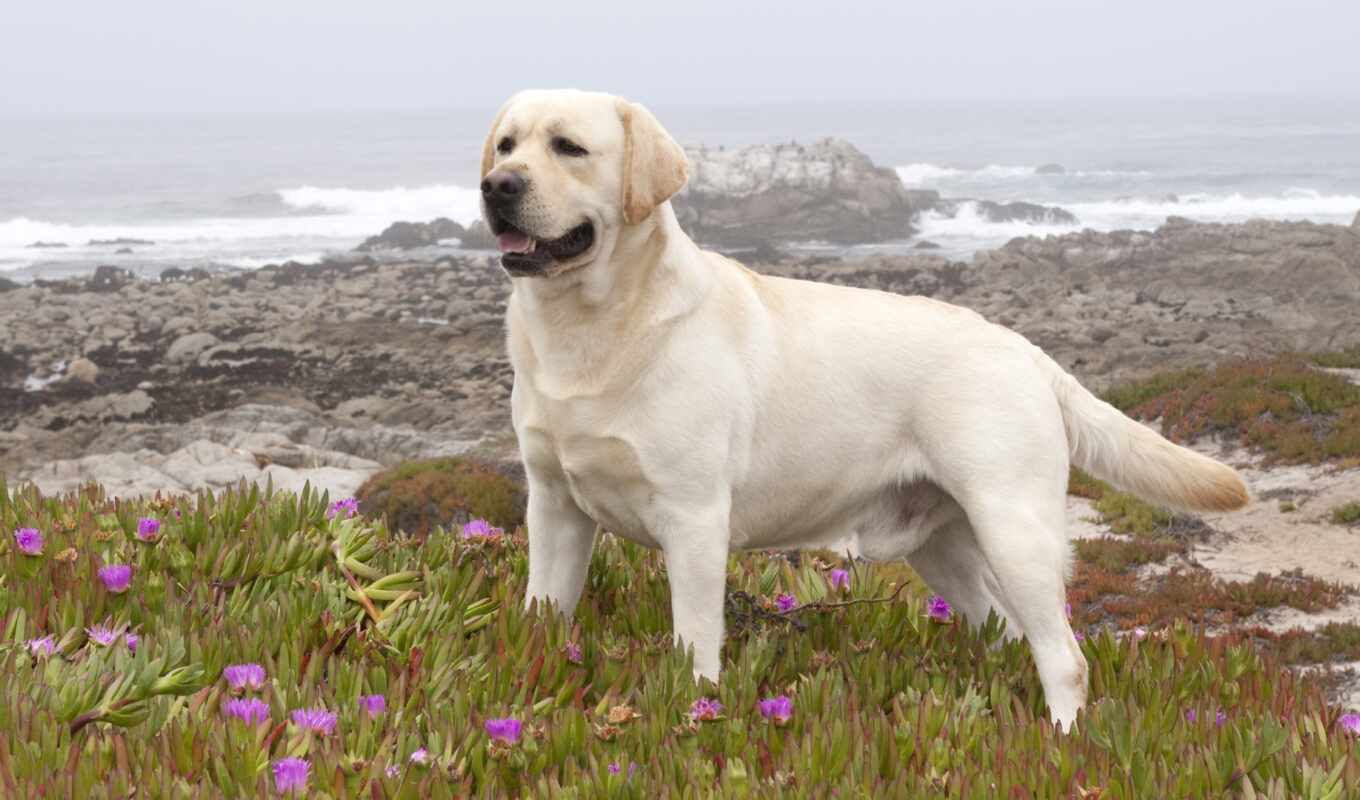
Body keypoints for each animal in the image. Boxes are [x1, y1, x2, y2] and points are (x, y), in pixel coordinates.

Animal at [478, 90, 1245, 729]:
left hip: (1014, 529)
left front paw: (696, 708)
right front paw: (533, 672)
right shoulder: (554, 507)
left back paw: (1063, 741)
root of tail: (1030, 353)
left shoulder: (693, 521)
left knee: (1066, 656)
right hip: (944, 546)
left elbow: (694, 644)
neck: (590, 330)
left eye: (569, 147)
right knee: (1004, 629)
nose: (496, 186)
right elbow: (544, 610)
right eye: (507, 144)